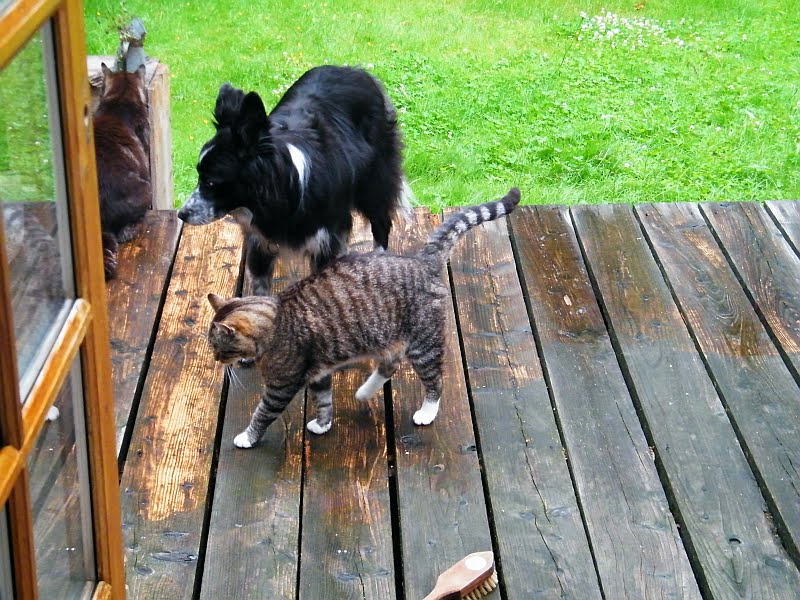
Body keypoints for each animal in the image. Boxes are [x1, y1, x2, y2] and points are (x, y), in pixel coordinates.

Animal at [177, 65, 410, 296]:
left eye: (211, 182)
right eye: (199, 176)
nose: (181, 214)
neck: (287, 191)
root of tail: (356, 70)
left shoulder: (323, 239)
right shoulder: (259, 242)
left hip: (374, 183)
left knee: (381, 223)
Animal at [206, 188, 520, 449]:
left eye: (218, 347)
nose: (216, 359)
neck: (278, 320)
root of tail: (421, 262)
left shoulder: (280, 387)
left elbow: (262, 414)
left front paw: (248, 437)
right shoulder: (318, 372)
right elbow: (324, 401)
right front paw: (324, 424)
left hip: (424, 345)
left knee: (434, 381)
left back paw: (427, 411)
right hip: (387, 338)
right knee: (391, 365)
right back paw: (364, 393)